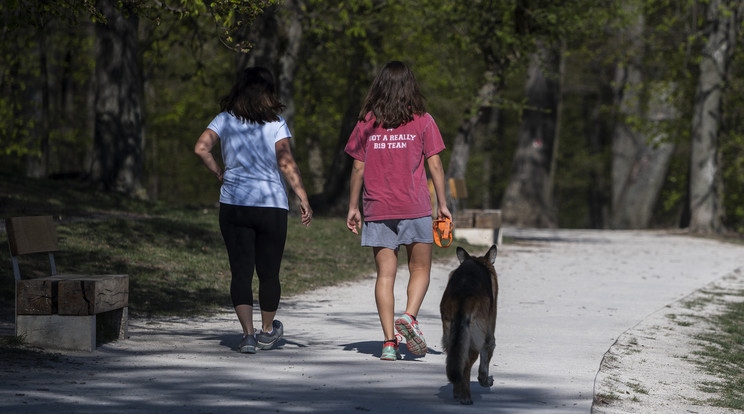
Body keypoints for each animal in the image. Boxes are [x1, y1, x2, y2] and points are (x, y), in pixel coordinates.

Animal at [438, 246, 496, 404]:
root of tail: (463, 296)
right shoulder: (488, 334)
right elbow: (485, 362)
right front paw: (485, 381)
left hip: (450, 335)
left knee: (455, 361)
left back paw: (458, 392)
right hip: (475, 339)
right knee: (466, 366)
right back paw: (466, 397)